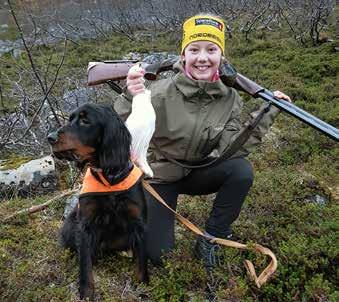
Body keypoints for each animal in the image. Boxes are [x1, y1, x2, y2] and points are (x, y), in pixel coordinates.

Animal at [48, 103, 149, 300]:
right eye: (70, 118)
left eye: (85, 121)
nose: (50, 137)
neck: (109, 179)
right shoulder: (85, 225)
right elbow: (85, 265)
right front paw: (86, 293)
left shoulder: (138, 223)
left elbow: (141, 262)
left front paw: (144, 288)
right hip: (71, 223)